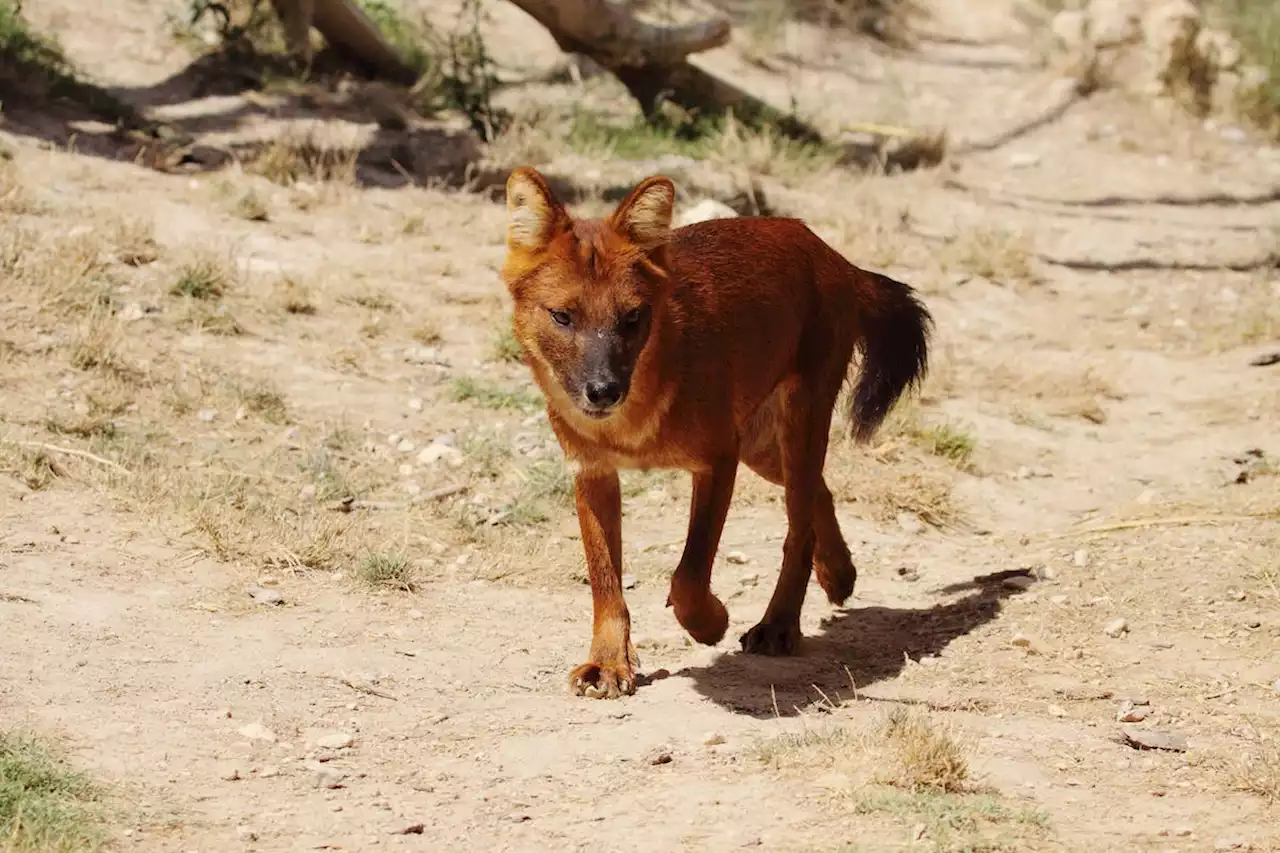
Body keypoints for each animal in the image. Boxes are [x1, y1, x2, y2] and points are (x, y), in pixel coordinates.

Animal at [496, 166, 931, 696]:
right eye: (563, 316)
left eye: (631, 317)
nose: (603, 391)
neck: (632, 418)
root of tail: (831, 253)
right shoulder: (592, 471)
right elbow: (605, 580)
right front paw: (608, 663)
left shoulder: (718, 458)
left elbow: (689, 572)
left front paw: (711, 623)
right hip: (763, 447)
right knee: (819, 495)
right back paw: (839, 573)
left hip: (799, 421)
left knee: (798, 525)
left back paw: (779, 625)